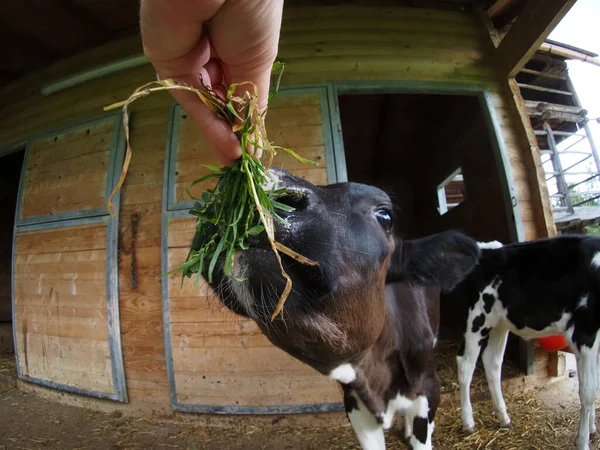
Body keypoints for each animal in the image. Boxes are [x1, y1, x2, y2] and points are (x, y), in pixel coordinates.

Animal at [454, 236, 600, 450]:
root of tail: (487, 250)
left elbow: (595, 387)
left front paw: (592, 428)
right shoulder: (584, 334)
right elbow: (588, 392)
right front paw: (583, 441)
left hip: (500, 323)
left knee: (492, 362)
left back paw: (504, 418)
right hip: (477, 318)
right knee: (465, 364)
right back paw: (468, 422)